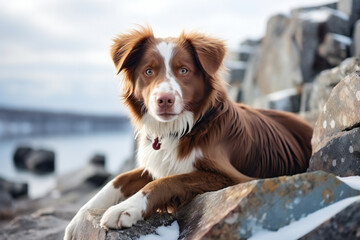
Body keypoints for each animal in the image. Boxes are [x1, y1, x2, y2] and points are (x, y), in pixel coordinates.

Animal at [64, 27, 312, 239]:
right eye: (148, 71)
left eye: (184, 70)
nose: (164, 99)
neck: (181, 129)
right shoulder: (157, 163)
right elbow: (119, 179)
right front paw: (77, 221)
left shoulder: (234, 178)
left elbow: (167, 182)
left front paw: (125, 209)